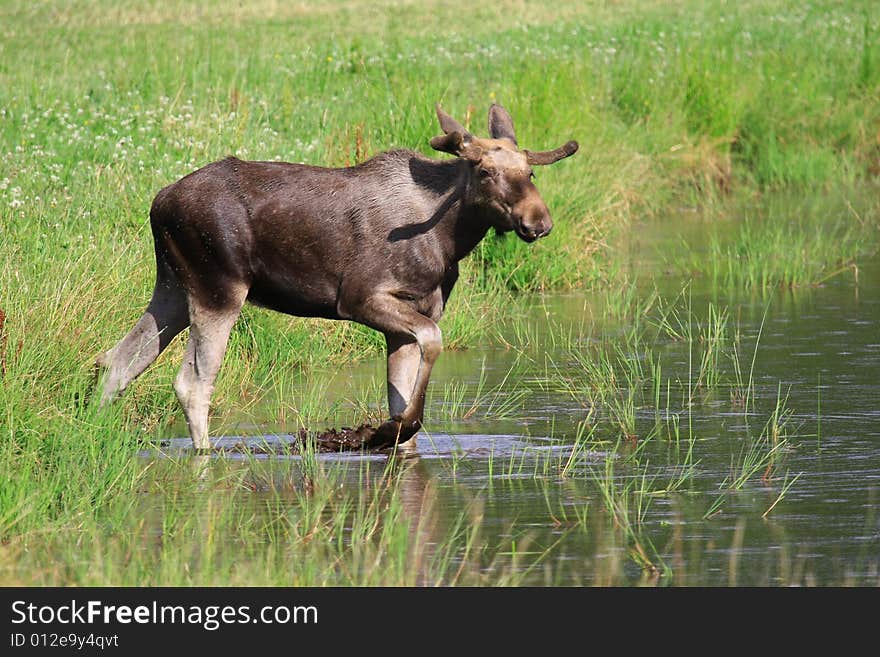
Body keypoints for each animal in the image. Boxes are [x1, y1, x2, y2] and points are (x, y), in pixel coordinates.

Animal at [96, 104, 576, 452]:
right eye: (486, 172)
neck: (448, 236)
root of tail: (158, 204)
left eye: (530, 172)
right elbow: (432, 343)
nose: (538, 221)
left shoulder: (409, 316)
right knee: (192, 383)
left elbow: (403, 397)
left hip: (173, 288)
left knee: (117, 361)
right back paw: (204, 455)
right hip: (219, 289)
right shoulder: (360, 298)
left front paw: (392, 432)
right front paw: (382, 430)